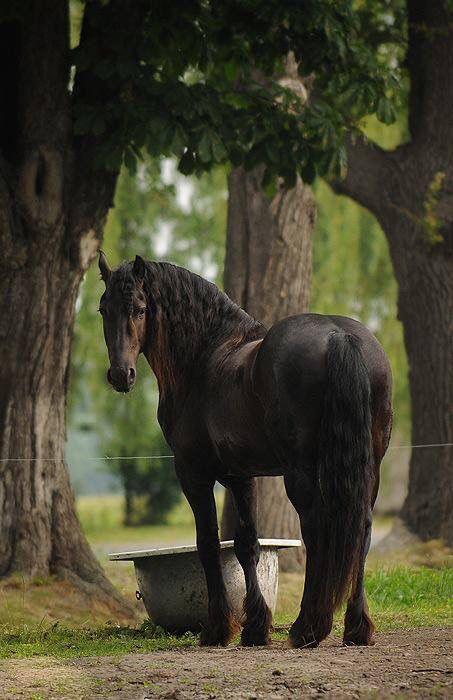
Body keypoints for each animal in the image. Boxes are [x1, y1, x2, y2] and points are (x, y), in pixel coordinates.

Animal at [98, 253, 392, 652]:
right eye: (103, 310)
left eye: (140, 310)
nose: (120, 375)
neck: (205, 357)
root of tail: (339, 336)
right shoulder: (242, 475)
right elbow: (246, 544)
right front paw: (255, 628)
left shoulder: (193, 473)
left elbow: (208, 544)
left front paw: (217, 629)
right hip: (370, 467)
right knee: (362, 527)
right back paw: (356, 628)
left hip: (300, 473)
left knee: (316, 530)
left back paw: (307, 627)